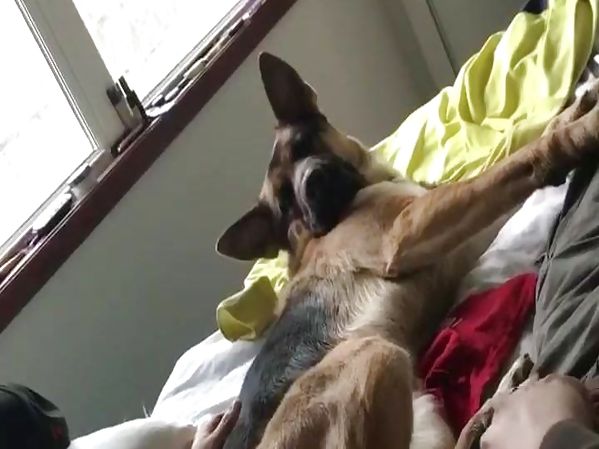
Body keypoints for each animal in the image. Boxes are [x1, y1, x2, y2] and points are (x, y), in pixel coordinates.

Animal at [216, 52, 599, 449]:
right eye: (285, 205)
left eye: (304, 144)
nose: (314, 183)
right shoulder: (408, 231)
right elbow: (516, 162)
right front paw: (584, 130)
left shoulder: (460, 221)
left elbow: (521, 151)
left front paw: (576, 108)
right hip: (373, 354)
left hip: (421, 407)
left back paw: (498, 400)